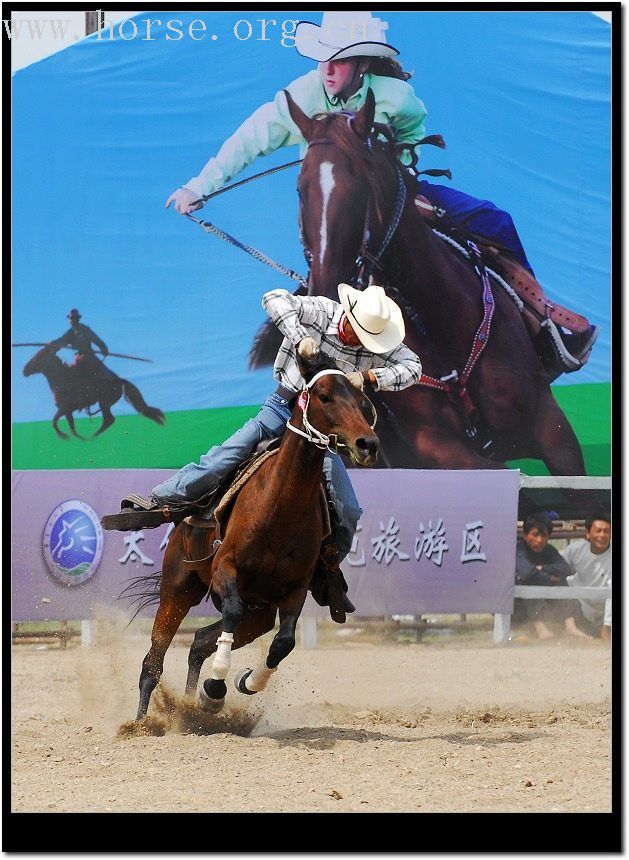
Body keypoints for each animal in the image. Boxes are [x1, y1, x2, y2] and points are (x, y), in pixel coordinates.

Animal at [22, 342, 164, 436]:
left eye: (37, 358)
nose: (24, 370)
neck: (62, 377)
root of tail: (119, 380)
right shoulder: (67, 410)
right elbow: (69, 425)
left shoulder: (65, 407)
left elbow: (55, 422)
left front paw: (66, 437)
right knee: (108, 420)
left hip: (104, 402)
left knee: (109, 419)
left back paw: (92, 437)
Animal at [123, 352, 378, 724]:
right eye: (324, 396)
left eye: (362, 402)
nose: (367, 444)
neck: (279, 508)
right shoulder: (225, 568)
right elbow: (231, 610)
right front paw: (215, 688)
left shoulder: (295, 587)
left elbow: (284, 642)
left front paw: (244, 682)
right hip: (178, 587)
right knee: (153, 659)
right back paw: (141, 722)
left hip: (259, 612)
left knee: (199, 641)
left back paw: (191, 708)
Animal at [250, 91, 584, 480]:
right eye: (302, 190)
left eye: (362, 184)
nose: (325, 284)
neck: (438, 318)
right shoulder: (433, 446)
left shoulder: (550, 424)